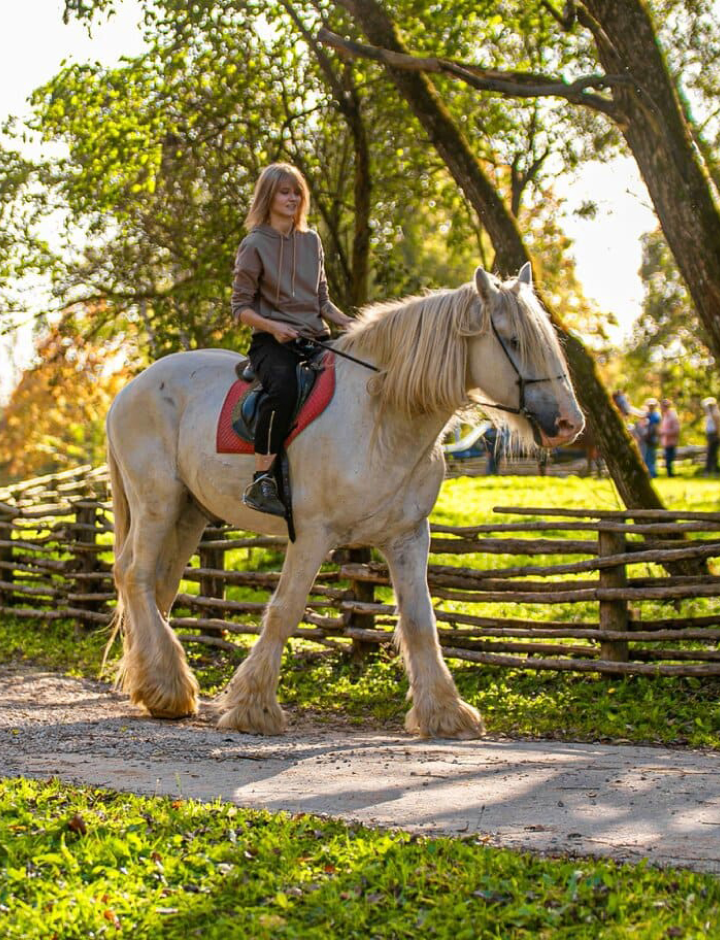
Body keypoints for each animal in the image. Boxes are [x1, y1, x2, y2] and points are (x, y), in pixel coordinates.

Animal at [105, 262, 580, 736]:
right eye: (514, 340)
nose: (568, 423)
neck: (381, 419)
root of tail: (129, 390)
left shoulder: (408, 538)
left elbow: (419, 621)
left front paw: (445, 713)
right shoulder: (311, 534)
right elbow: (285, 610)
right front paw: (252, 707)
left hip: (190, 513)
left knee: (159, 586)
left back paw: (159, 686)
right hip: (157, 504)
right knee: (134, 575)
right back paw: (166, 688)